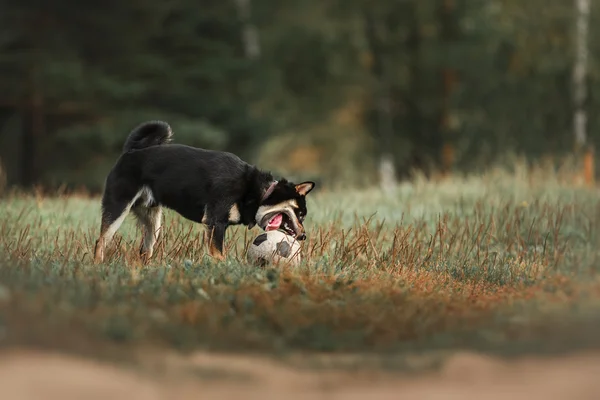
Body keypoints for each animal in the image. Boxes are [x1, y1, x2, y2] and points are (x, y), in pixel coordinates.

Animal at [92, 120, 316, 264]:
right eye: (300, 214)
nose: (304, 236)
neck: (258, 191)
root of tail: (130, 152)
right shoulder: (215, 222)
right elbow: (219, 254)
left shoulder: (216, 225)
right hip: (118, 208)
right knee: (101, 242)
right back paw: (98, 267)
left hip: (153, 223)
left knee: (144, 249)